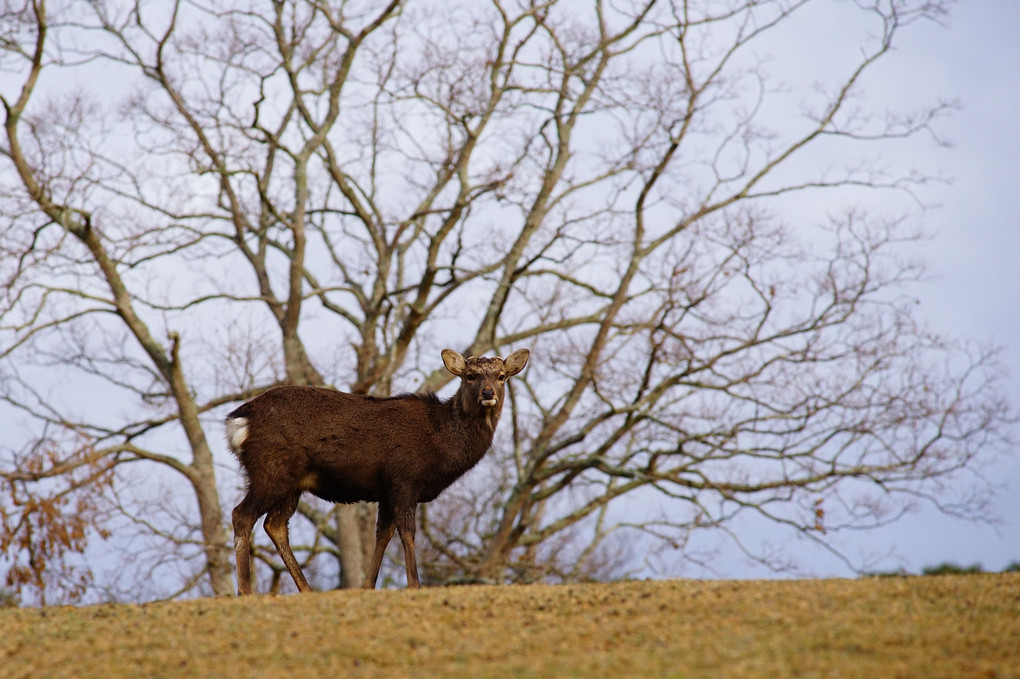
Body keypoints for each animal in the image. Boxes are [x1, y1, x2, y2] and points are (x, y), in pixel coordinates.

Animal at [222, 346, 526, 595]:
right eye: (470, 376)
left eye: (501, 376)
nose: (488, 394)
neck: (442, 442)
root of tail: (238, 421)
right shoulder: (404, 479)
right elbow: (407, 531)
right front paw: (414, 585)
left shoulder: (386, 489)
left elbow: (383, 534)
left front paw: (367, 586)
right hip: (271, 469)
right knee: (242, 515)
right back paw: (246, 590)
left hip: (291, 483)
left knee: (274, 524)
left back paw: (306, 589)